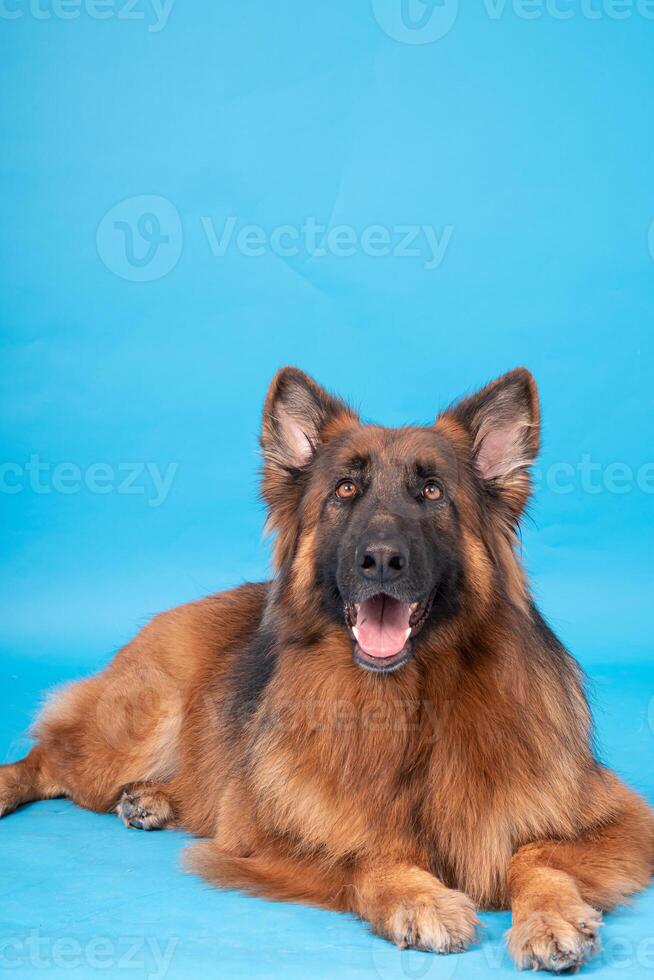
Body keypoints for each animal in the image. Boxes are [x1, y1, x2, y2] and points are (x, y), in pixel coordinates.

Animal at [1, 370, 654, 972]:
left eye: (432, 492)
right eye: (345, 490)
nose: (382, 560)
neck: (414, 706)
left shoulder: (620, 821)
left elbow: (534, 853)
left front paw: (549, 915)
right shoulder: (259, 832)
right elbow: (360, 852)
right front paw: (419, 899)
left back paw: (154, 799)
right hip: (138, 731)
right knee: (48, 759)